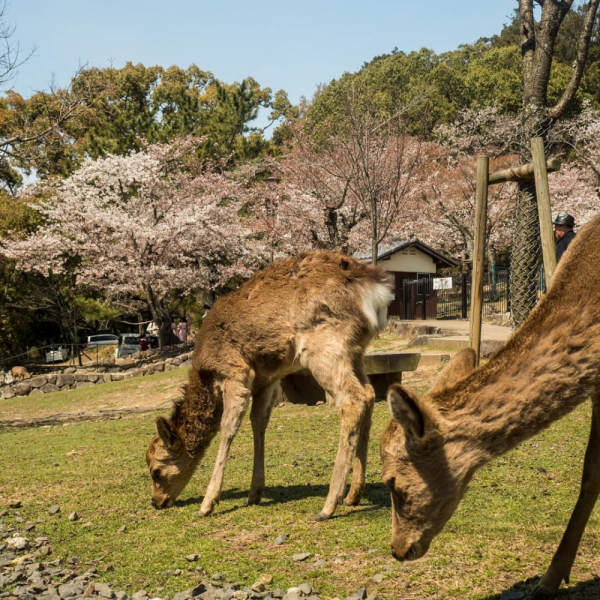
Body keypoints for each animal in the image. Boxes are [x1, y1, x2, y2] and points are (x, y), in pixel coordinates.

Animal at [143, 251, 392, 524]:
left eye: (156, 471)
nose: (156, 502)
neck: (206, 369)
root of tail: (377, 290)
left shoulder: (236, 372)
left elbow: (228, 427)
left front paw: (207, 504)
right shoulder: (267, 380)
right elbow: (258, 422)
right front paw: (254, 493)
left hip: (326, 347)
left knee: (352, 398)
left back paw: (328, 506)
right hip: (356, 351)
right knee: (369, 394)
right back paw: (354, 495)